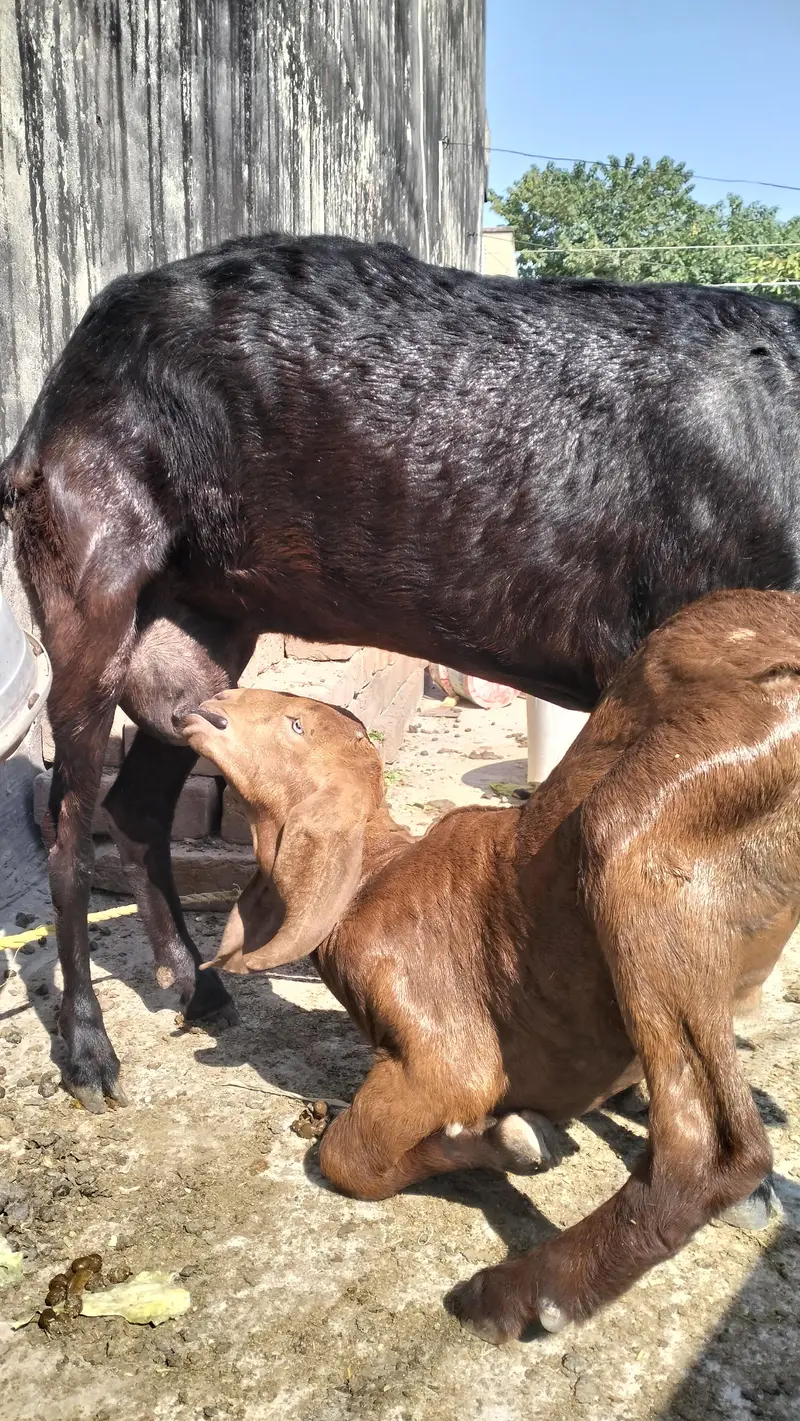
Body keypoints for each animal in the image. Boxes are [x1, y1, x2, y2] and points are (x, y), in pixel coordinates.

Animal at [4, 232, 800, 1111]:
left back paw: (199, 986)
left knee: (140, 810)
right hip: (92, 610)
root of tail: (76, 357)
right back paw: (87, 1047)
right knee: (70, 838)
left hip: (200, 644)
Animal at [182, 587, 796, 1340]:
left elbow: (350, 1153)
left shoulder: (442, 1049)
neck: (372, 874)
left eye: (295, 724)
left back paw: (525, 1293)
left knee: (708, 1147)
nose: (206, 705)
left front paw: (511, 1142)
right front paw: (530, 1132)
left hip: (634, 837)